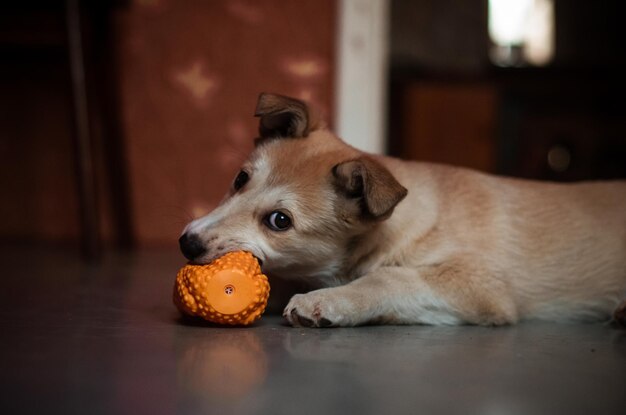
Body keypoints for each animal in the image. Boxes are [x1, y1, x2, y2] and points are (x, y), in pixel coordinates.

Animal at [178, 93, 624, 328]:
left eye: (279, 221)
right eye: (240, 179)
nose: (187, 243)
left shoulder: (479, 284)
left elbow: (388, 279)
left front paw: (328, 301)